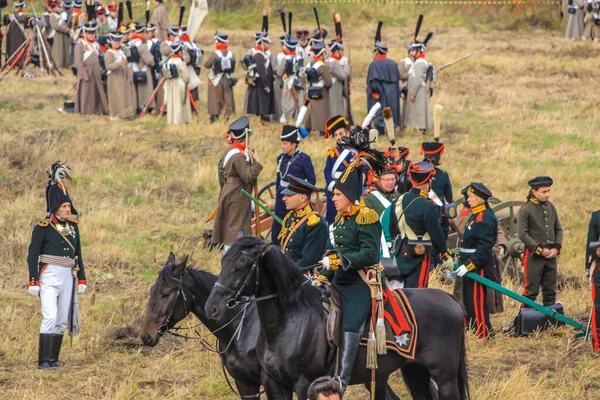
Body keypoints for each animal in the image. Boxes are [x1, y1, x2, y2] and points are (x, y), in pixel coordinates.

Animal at [205, 238, 468, 400]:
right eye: (223, 261)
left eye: (241, 265)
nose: (212, 308)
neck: (288, 321)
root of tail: (449, 299)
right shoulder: (275, 384)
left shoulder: (304, 383)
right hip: (415, 370)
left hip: (444, 376)